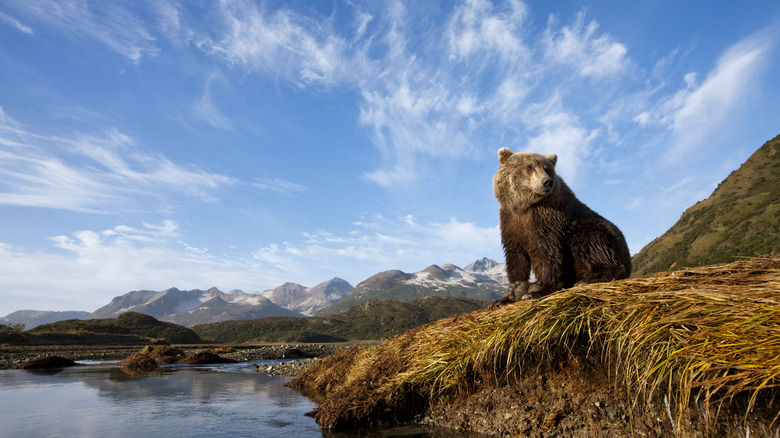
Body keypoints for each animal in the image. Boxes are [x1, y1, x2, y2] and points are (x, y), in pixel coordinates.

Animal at [490, 148, 632, 308]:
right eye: (529, 167)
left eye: (547, 168)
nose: (547, 182)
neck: (524, 207)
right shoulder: (510, 222)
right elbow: (516, 258)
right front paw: (506, 295)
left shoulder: (547, 218)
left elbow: (551, 253)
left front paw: (540, 290)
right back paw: (521, 289)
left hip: (598, 233)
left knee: (590, 240)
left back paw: (591, 278)